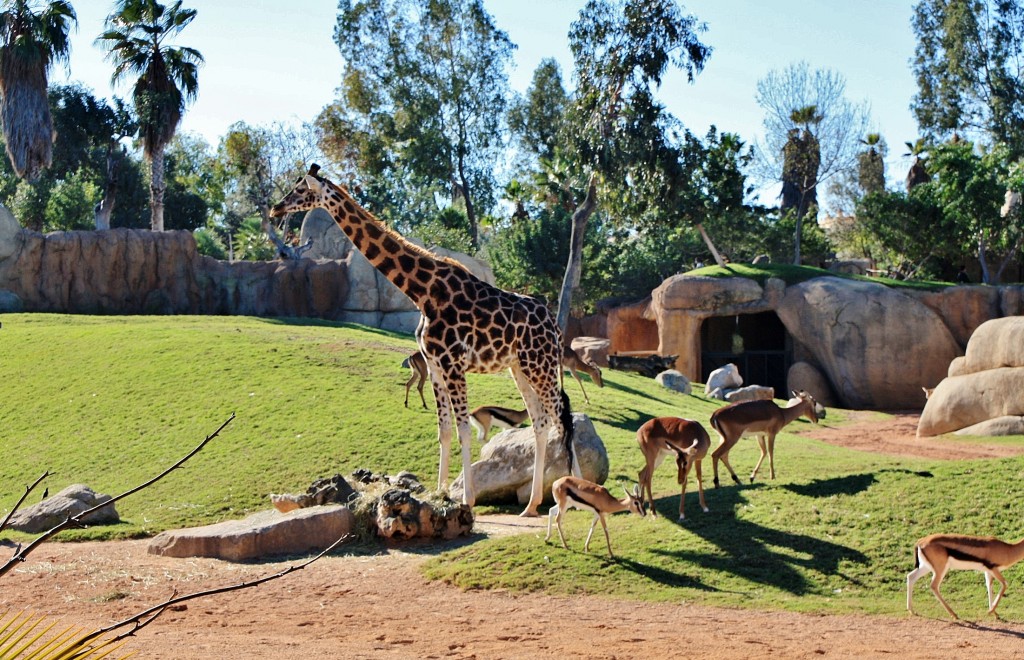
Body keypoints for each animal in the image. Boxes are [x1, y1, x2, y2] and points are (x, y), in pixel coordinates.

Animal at [270, 164, 577, 515]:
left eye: (300, 191)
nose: (275, 209)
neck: (422, 292)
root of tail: (555, 326)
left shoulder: (453, 363)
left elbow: (463, 430)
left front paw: (467, 499)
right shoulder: (434, 365)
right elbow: (444, 431)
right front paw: (440, 494)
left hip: (541, 365)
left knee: (562, 419)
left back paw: (576, 497)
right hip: (520, 367)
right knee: (540, 421)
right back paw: (532, 504)